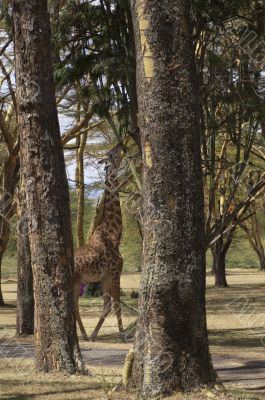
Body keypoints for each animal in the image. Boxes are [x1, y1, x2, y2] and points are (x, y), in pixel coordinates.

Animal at [72, 142, 125, 340]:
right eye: (111, 153)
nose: (121, 143)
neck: (114, 233)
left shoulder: (105, 277)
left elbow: (107, 305)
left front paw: (95, 333)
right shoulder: (115, 272)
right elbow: (116, 305)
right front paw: (123, 335)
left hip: (77, 281)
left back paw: (86, 334)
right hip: (75, 280)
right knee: (73, 306)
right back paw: (83, 335)